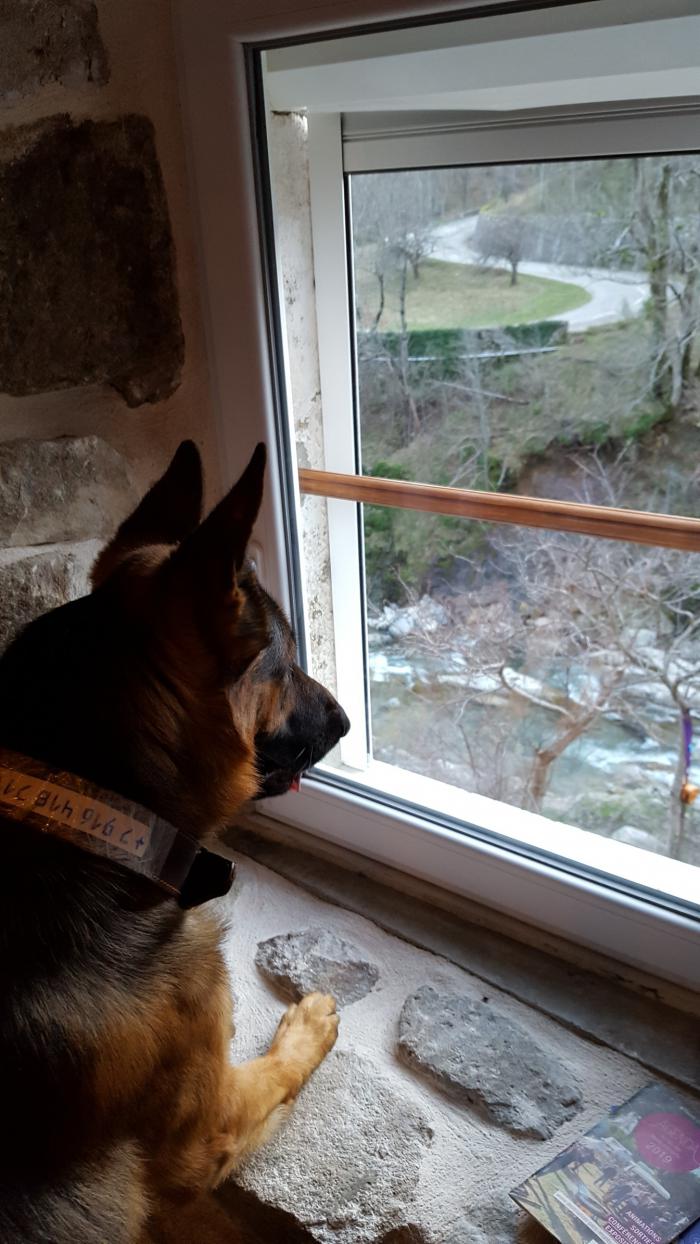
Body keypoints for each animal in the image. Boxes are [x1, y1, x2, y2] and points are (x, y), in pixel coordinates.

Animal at [0, 440, 349, 1243]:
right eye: (286, 660)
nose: (348, 722)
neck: (91, 805)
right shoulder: (210, 1125)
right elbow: (276, 1069)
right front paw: (306, 1025)